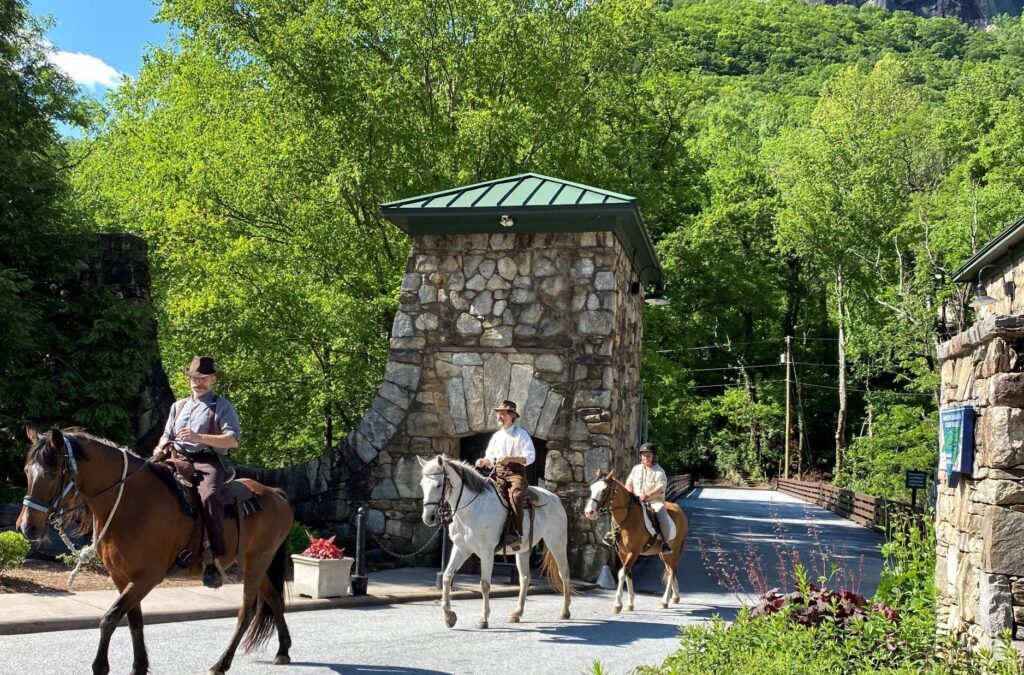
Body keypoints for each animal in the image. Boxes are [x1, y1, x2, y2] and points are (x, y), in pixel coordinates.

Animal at [17, 428, 296, 675]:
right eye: (27, 472)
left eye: (52, 474)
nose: (26, 526)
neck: (131, 503)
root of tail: (276, 493)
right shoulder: (122, 577)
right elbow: (134, 621)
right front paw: (139, 667)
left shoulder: (147, 577)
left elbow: (110, 618)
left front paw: (101, 667)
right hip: (257, 564)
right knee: (274, 599)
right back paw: (283, 651)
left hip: (256, 564)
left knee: (246, 612)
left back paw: (221, 664)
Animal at [417, 454, 577, 626]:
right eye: (422, 485)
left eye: (438, 485)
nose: (428, 517)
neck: (472, 508)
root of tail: (555, 499)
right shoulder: (461, 548)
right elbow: (447, 577)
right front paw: (449, 616)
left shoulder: (486, 552)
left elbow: (485, 584)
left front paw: (483, 618)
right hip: (523, 550)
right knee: (525, 578)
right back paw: (516, 613)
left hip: (557, 543)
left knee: (564, 573)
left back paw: (565, 611)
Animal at [585, 469, 688, 614]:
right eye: (591, 489)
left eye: (604, 490)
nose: (589, 512)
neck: (627, 518)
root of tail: (679, 510)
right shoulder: (622, 553)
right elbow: (628, 573)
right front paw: (629, 603)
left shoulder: (633, 552)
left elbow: (622, 573)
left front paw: (617, 604)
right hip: (664, 554)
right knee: (669, 570)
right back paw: (675, 596)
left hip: (674, 550)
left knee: (672, 570)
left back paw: (665, 601)